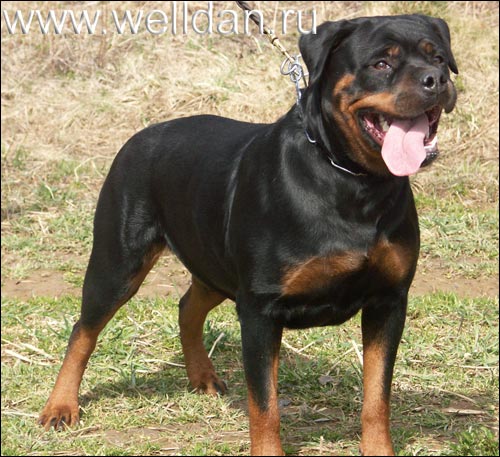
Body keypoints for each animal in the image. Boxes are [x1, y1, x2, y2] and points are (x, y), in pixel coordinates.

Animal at [39, 14, 457, 456]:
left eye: (439, 58)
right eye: (381, 63)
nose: (436, 79)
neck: (351, 181)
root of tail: (138, 137)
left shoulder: (388, 301)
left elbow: (377, 396)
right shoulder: (260, 309)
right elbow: (265, 405)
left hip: (214, 266)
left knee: (188, 306)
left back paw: (201, 375)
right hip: (118, 264)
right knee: (84, 330)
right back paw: (60, 406)